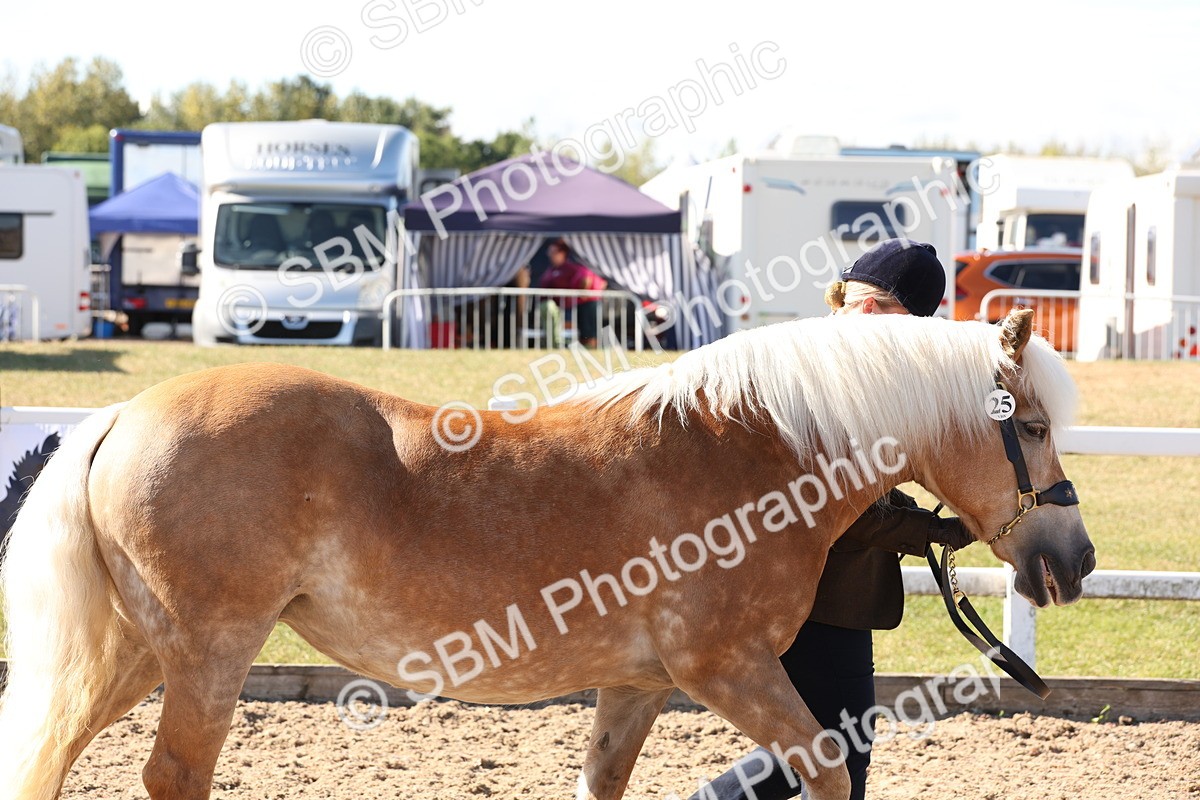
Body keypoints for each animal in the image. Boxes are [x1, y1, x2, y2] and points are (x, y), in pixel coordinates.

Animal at [0, 308, 1095, 800]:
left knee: (49, 753)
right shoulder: (730, 668)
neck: (753, 449)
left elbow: (599, 784)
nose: (1075, 558)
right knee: (172, 773)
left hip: (136, 652)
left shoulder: (639, 685)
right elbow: (827, 773)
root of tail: (122, 415)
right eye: (1034, 425)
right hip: (209, 650)